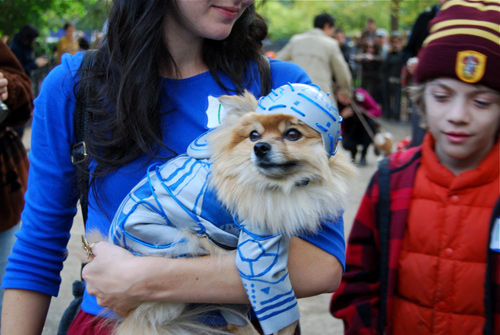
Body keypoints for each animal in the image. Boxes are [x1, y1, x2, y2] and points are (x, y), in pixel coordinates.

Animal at [89, 83, 356, 335]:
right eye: (254, 135)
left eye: (292, 134)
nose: (260, 147)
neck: (279, 184)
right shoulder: (258, 243)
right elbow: (279, 306)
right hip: (178, 242)